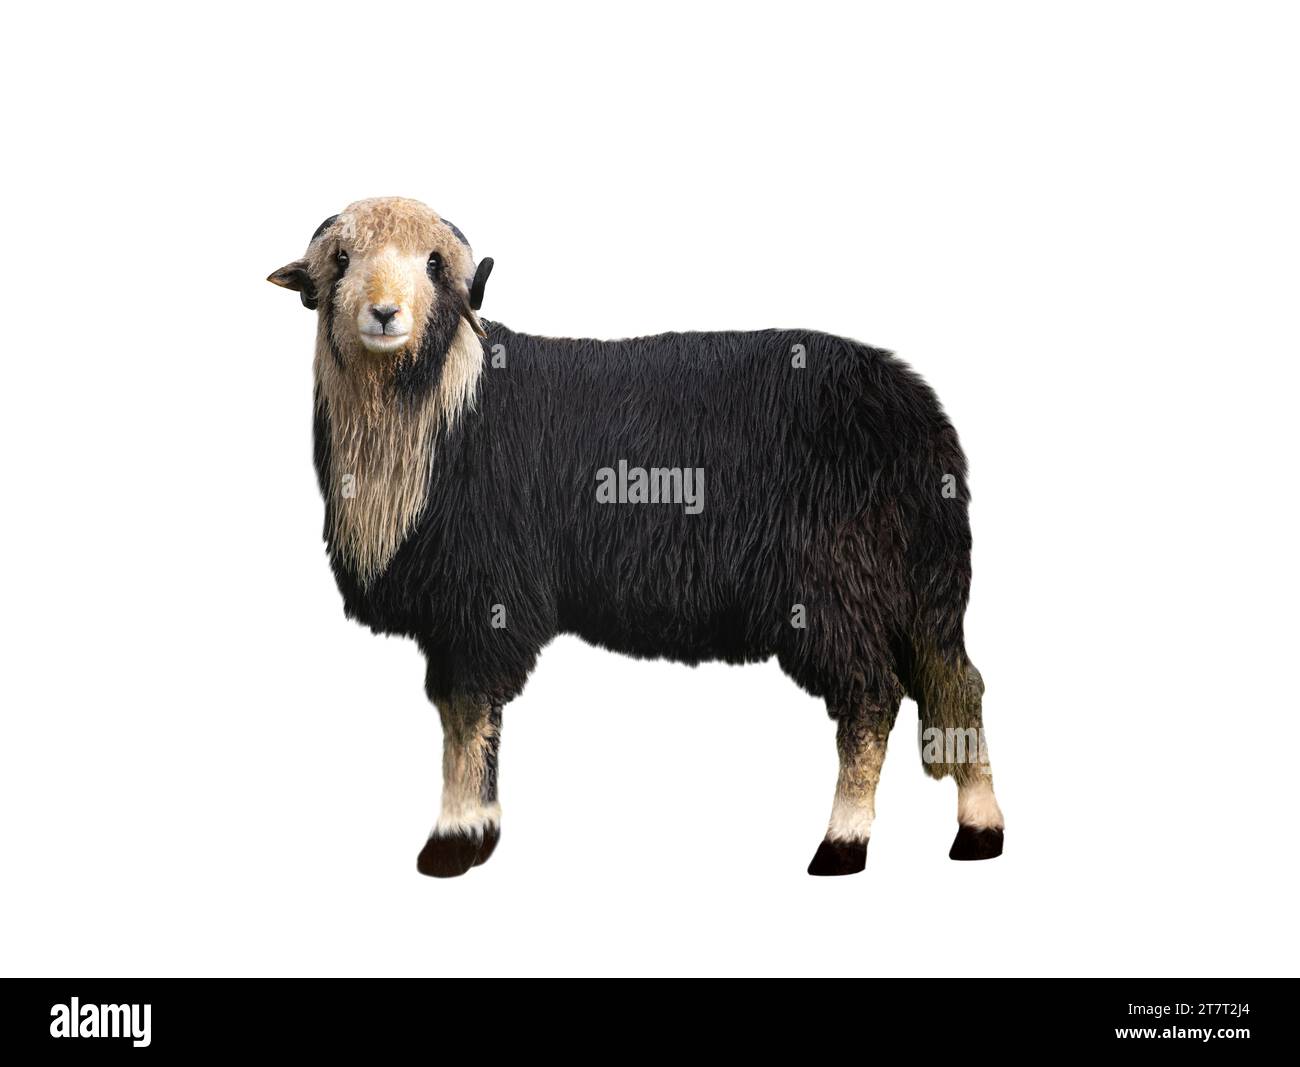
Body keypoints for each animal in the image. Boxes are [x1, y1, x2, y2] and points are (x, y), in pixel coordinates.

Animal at [268, 196, 1005, 878]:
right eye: (341, 260)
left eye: (433, 265)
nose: (384, 314)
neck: (439, 405)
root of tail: (917, 415)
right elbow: (465, 717)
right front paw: (478, 829)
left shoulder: (484, 599)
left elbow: (468, 712)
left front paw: (454, 839)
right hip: (917, 586)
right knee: (955, 682)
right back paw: (979, 830)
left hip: (836, 584)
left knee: (871, 697)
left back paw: (843, 842)